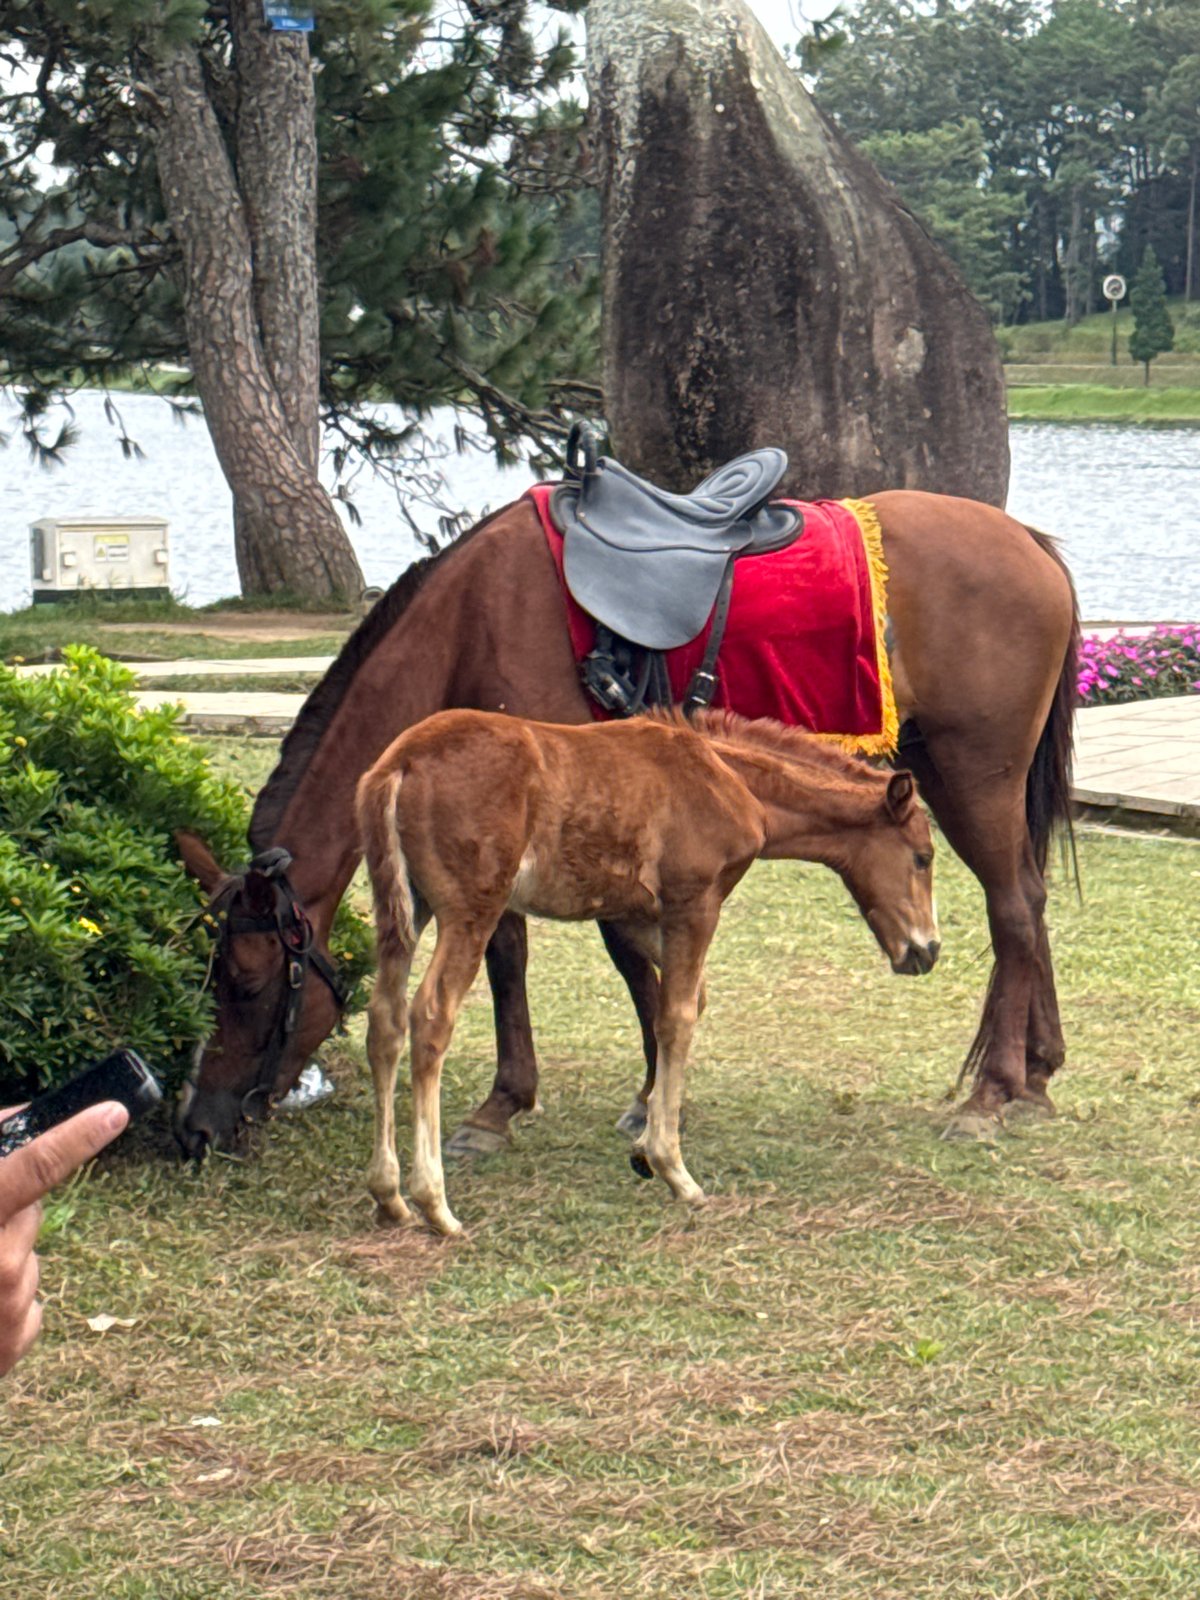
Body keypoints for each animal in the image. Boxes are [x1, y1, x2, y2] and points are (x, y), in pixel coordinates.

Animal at [174, 486, 1077, 1158]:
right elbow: (556, 950)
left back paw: (993, 1091)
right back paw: (1037, 1072)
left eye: (245, 982)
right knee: (1030, 902)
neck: (471, 620)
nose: (199, 1126)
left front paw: (537, 1102)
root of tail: (1031, 543)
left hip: (975, 773)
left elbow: (560, 948)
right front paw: (605, 1092)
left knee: (1010, 908)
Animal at [355, 707, 938, 1233]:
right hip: (471, 910)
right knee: (431, 1016)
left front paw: (642, 1139)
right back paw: (435, 1204)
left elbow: (683, 1001)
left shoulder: (636, 915)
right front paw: (673, 1168)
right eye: (924, 857)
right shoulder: (694, 904)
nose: (927, 950)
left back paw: (389, 1196)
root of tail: (400, 762)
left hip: (402, 913)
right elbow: (677, 1016)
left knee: (384, 1019)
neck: (730, 779)